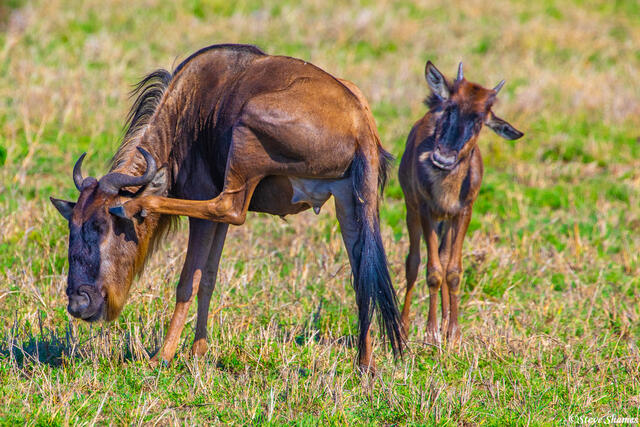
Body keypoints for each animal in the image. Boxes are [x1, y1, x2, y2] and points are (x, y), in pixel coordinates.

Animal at [50, 44, 403, 372]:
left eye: (101, 228)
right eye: (72, 229)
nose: (79, 304)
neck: (182, 118)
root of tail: (360, 125)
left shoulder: (202, 210)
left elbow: (187, 282)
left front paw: (162, 356)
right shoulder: (213, 225)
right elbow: (208, 279)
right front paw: (197, 352)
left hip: (248, 127)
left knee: (230, 206)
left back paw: (141, 202)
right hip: (349, 201)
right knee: (363, 275)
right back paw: (364, 364)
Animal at [398, 61, 523, 345]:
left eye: (479, 120)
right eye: (450, 108)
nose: (443, 158)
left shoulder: (463, 213)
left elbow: (453, 271)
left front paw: (452, 332)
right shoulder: (426, 210)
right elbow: (432, 271)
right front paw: (431, 332)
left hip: (446, 221)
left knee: (444, 259)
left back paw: (444, 322)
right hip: (413, 211)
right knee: (413, 262)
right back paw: (403, 326)